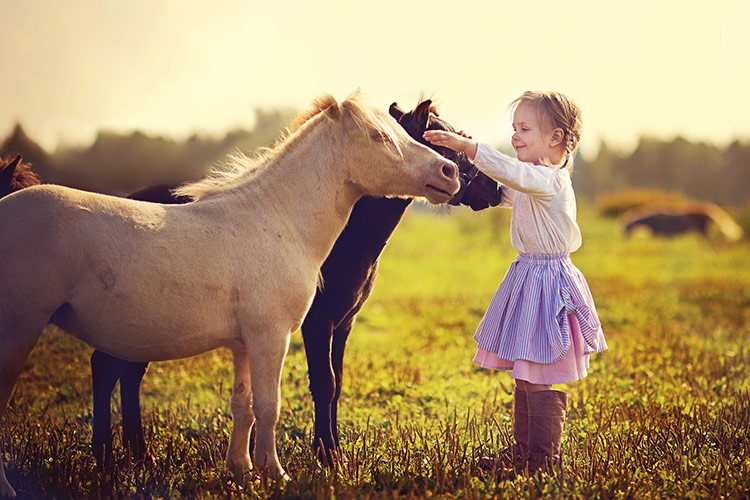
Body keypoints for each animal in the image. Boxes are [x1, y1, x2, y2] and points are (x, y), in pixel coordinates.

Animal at [1, 99, 506, 466]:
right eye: (440, 139)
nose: (491, 187)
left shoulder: (340, 325)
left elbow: (330, 384)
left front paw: (329, 452)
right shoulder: (307, 326)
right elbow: (315, 387)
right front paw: (323, 459)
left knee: (118, 370)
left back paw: (128, 455)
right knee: (108, 369)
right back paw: (116, 456)